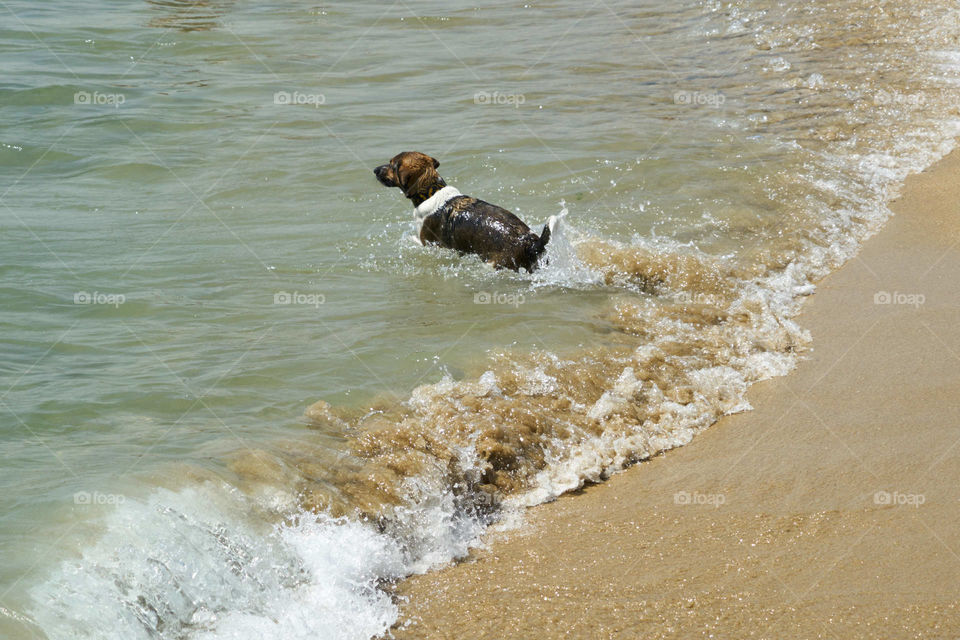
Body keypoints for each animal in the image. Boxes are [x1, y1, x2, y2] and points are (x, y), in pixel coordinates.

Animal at [374, 152, 560, 272]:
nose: (375, 170)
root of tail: (530, 243)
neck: (431, 191)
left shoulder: (429, 244)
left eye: (392, 165)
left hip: (492, 264)